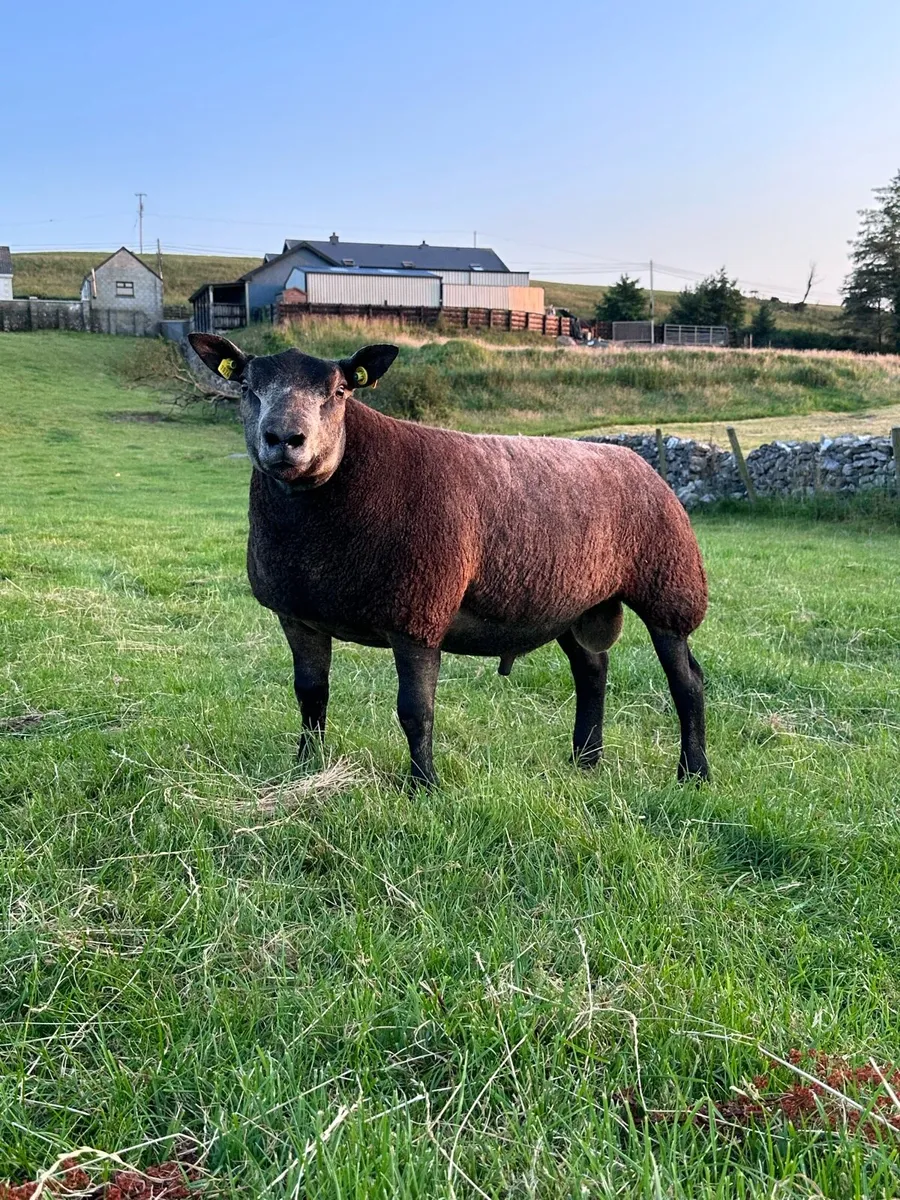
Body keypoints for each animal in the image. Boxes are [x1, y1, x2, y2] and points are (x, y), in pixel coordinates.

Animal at [188, 333, 710, 786]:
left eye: (339, 392)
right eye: (247, 388)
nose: (284, 438)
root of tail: (638, 461)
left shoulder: (418, 613)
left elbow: (415, 710)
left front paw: (424, 785)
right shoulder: (299, 616)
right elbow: (311, 696)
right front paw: (306, 768)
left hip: (670, 588)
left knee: (687, 682)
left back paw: (694, 773)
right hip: (574, 602)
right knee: (592, 673)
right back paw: (586, 759)